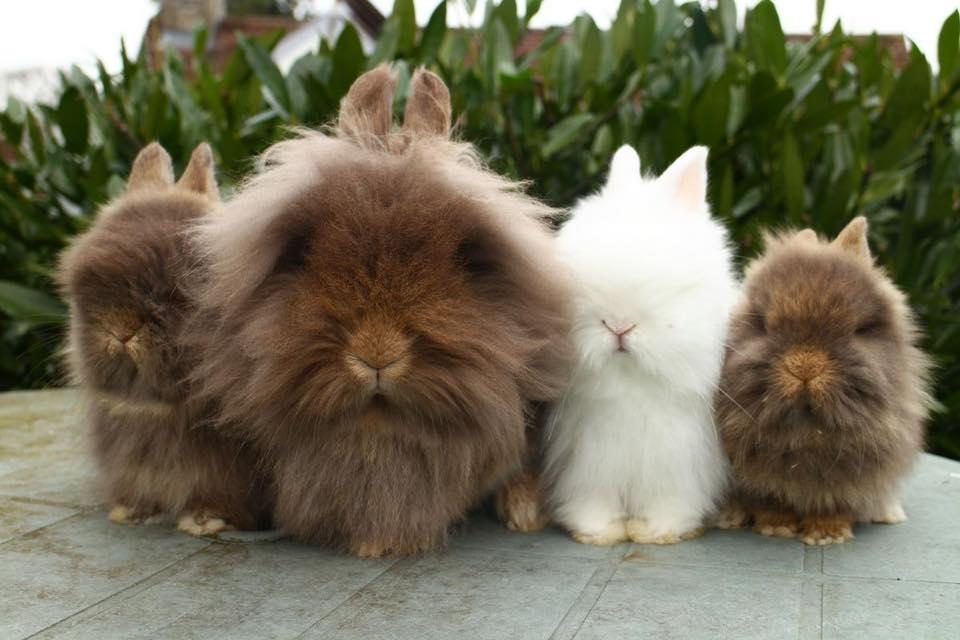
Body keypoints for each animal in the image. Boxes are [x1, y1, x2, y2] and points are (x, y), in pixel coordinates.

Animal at [544, 144, 737, 546]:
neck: (631, 386)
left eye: (669, 287)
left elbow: (668, 500)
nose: (618, 326)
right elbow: (593, 499)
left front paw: (658, 531)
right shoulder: (589, 460)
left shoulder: (678, 461)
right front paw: (598, 531)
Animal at [714, 217, 934, 545]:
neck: (806, 432)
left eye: (860, 329)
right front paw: (776, 528)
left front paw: (826, 536)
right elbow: (770, 503)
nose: (805, 365)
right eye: (762, 324)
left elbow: (834, 507)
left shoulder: (850, 481)